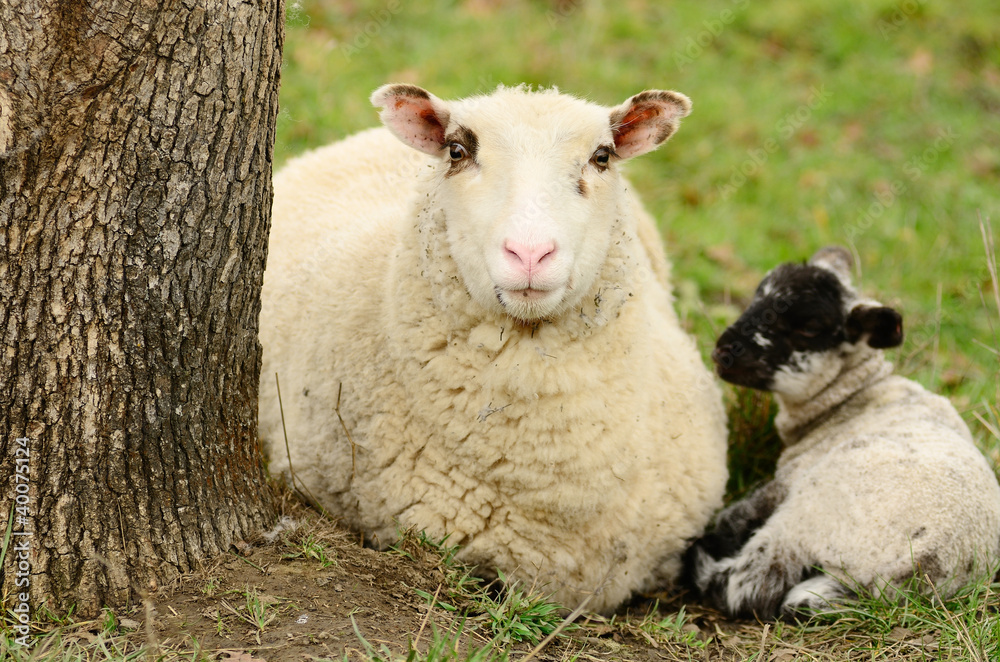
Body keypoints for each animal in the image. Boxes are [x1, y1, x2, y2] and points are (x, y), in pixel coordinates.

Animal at [684, 245, 1000, 619]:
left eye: (809, 327)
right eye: (757, 296)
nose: (723, 351)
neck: (851, 397)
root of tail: (919, 567)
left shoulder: (790, 477)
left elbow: (736, 517)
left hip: (807, 515)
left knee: (750, 585)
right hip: (843, 579)